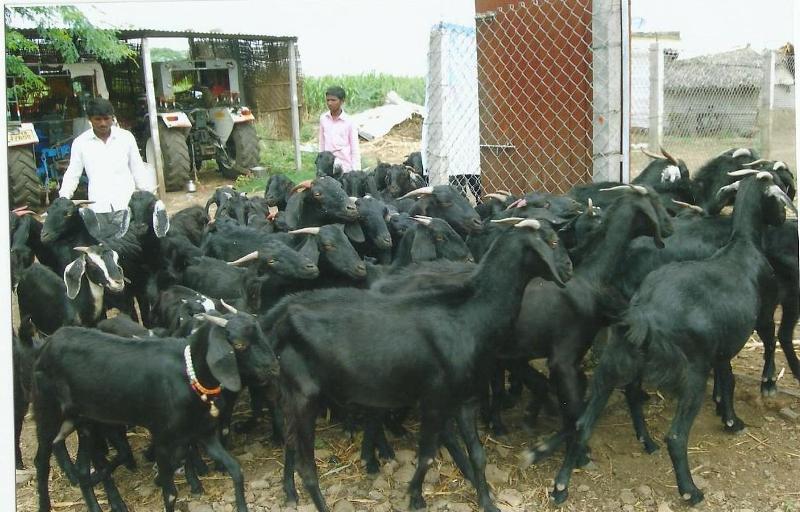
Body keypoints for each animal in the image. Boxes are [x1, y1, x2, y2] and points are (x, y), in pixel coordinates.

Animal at [266, 217, 572, 512]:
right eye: (553, 241)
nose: (569, 268)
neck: (470, 314)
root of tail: (284, 312)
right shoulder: (434, 399)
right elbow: (426, 456)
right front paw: (413, 494)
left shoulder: (465, 399)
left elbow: (478, 454)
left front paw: (487, 502)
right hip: (303, 395)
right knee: (307, 466)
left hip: (293, 395)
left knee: (291, 444)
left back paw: (290, 493)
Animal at [552, 171, 796, 504]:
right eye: (776, 195)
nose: (784, 217)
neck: (741, 245)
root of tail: (644, 317)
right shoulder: (764, 313)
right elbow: (769, 343)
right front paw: (766, 386)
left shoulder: (721, 346)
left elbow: (729, 381)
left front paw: (729, 417)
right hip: (691, 374)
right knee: (677, 436)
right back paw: (690, 491)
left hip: (611, 368)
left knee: (582, 423)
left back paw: (561, 485)